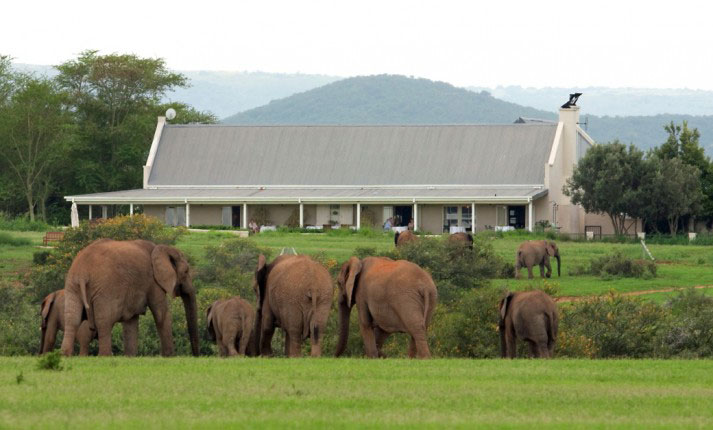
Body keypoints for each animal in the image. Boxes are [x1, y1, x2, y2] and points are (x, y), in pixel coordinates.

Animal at [58, 240, 196, 358]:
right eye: (186, 271)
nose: (196, 355)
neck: (160, 248)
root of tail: (83, 272)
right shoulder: (153, 282)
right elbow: (161, 314)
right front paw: (169, 357)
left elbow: (131, 321)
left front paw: (130, 357)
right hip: (106, 290)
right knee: (104, 322)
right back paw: (104, 356)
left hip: (72, 285)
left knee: (72, 319)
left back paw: (65, 355)